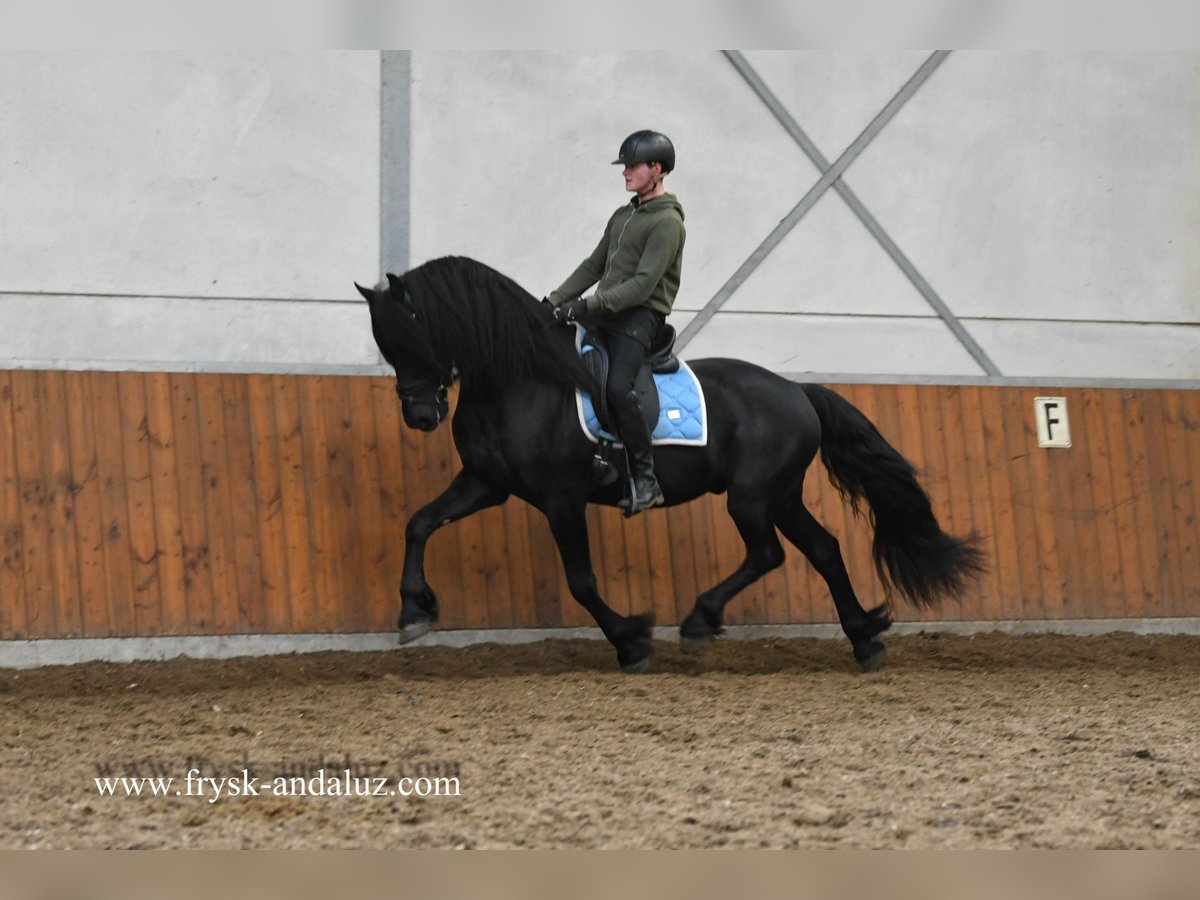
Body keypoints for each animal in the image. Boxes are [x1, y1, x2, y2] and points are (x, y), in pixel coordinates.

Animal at [355, 256, 984, 672]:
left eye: (411, 335)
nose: (420, 415)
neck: (520, 380)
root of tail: (798, 391)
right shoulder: (486, 482)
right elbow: (419, 523)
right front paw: (413, 611)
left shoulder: (560, 498)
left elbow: (581, 580)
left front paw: (631, 642)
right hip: (779, 494)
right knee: (823, 549)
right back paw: (864, 641)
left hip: (752, 496)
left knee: (769, 553)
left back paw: (700, 620)